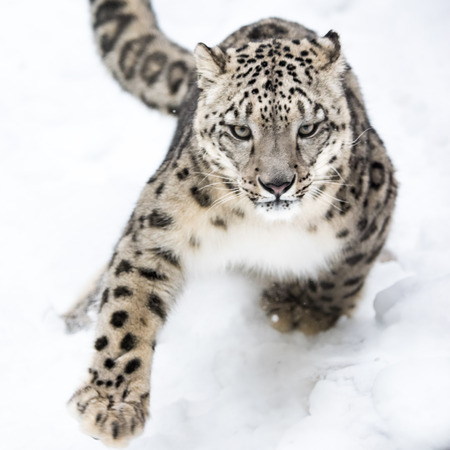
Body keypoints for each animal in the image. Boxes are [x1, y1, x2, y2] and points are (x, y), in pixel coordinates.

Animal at [67, 0, 398, 442]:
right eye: (241, 130)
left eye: (308, 127)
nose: (277, 183)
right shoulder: (157, 231)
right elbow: (125, 313)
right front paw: (110, 406)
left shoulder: (377, 199)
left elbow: (345, 272)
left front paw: (305, 309)